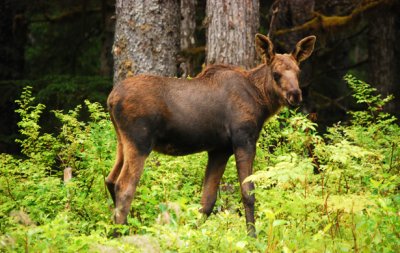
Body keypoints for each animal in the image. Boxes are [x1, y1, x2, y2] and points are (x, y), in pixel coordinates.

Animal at [105, 33, 316, 237]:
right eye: (276, 74)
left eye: (298, 72)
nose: (295, 95)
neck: (262, 102)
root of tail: (111, 99)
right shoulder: (244, 139)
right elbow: (248, 192)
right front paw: (252, 237)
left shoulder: (219, 150)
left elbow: (207, 201)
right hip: (140, 142)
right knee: (124, 185)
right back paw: (121, 233)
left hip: (122, 141)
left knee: (110, 179)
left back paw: (114, 232)